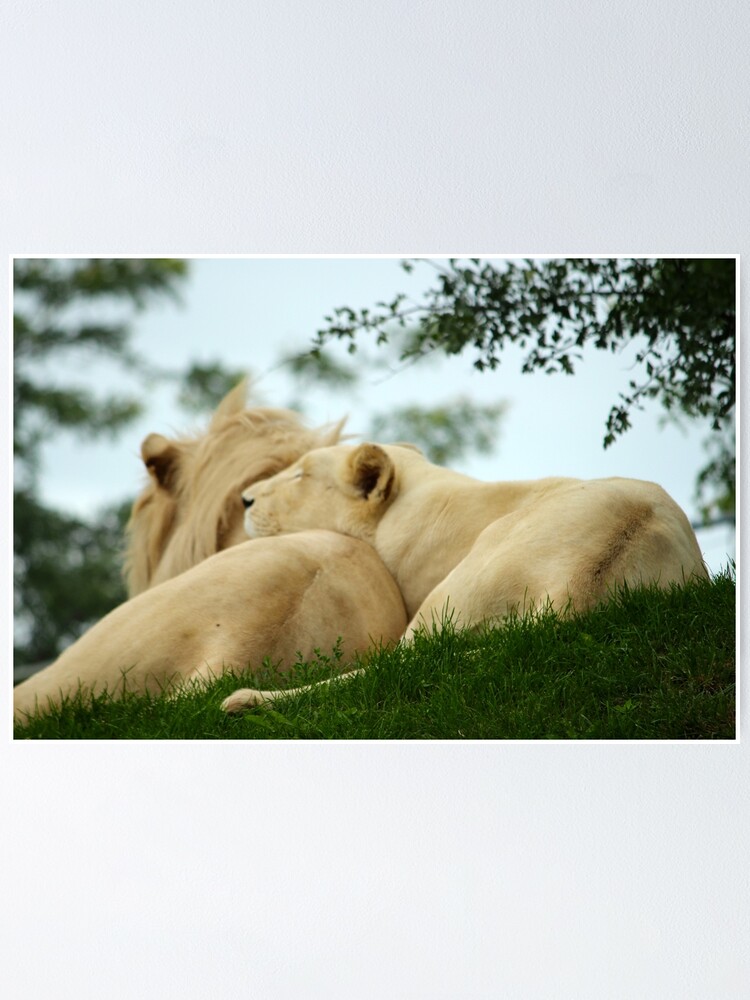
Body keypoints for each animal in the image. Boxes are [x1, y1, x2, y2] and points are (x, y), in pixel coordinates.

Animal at [219, 440, 712, 712]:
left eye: (300, 475)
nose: (244, 499)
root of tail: (578, 587)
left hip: (453, 593)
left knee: (392, 665)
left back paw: (240, 702)